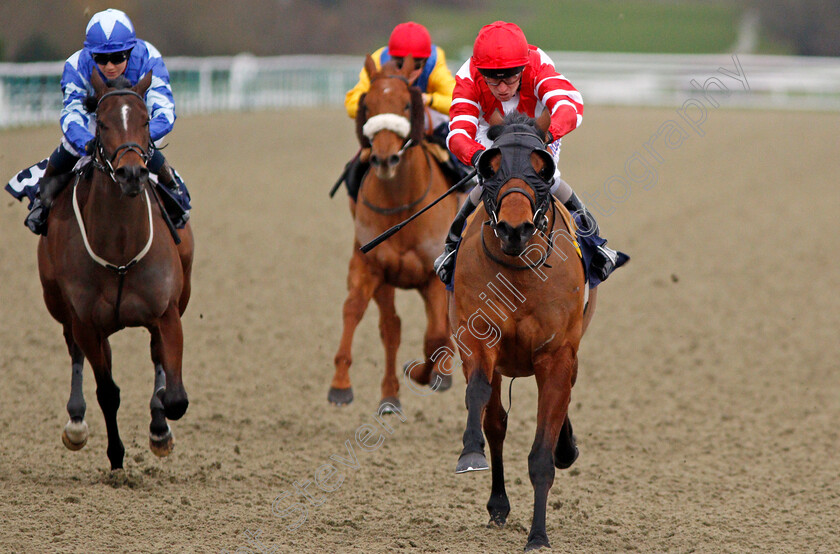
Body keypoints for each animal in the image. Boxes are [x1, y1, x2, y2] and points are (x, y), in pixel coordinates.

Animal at [38, 68, 194, 466]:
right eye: (103, 123)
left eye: (146, 120)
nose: (131, 173)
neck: (121, 250)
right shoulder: (86, 322)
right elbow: (107, 391)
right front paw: (116, 455)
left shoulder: (167, 313)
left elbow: (175, 397)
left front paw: (160, 429)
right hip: (60, 306)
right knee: (75, 351)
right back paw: (76, 422)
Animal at [330, 55, 460, 410]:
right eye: (368, 105)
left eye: (405, 104)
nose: (384, 159)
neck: (402, 204)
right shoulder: (371, 266)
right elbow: (357, 312)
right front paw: (341, 384)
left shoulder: (433, 275)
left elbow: (436, 334)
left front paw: (425, 374)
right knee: (391, 326)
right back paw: (389, 396)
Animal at [450, 111, 592, 548]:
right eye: (490, 167)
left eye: (541, 166)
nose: (515, 228)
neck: (518, 272)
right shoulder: (479, 339)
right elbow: (479, 398)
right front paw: (469, 453)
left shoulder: (557, 355)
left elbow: (542, 454)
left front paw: (538, 536)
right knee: (496, 423)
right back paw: (498, 504)